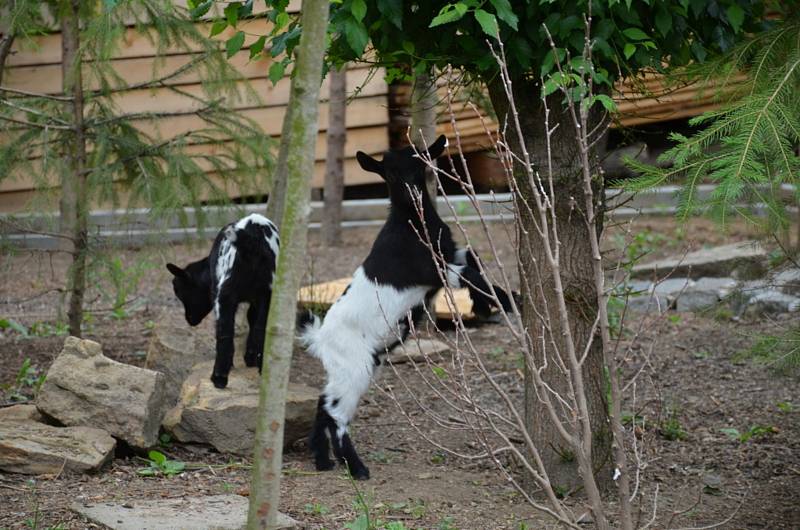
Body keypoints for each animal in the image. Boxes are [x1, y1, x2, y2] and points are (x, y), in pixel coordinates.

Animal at [296, 135, 516, 478]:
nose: (411, 191)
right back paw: (356, 468)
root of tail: (319, 338)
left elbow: (474, 257)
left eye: (418, 161)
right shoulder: (434, 270)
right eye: (390, 171)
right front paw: (502, 301)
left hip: (348, 367)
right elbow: (471, 272)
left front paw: (491, 302)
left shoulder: (450, 254)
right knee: (336, 414)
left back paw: (323, 461)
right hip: (355, 366)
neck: (411, 221)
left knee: (323, 403)